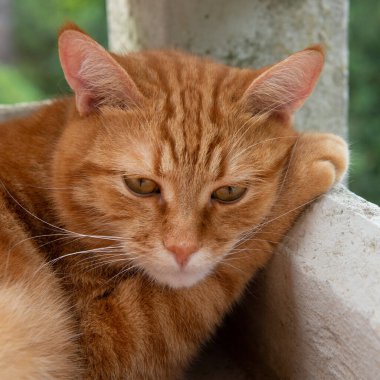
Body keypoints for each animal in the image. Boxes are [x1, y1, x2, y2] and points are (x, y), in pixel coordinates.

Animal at [0, 24, 348, 380]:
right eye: (141, 185)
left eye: (229, 192)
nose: (182, 249)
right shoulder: (112, 342)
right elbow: (206, 284)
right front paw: (308, 160)